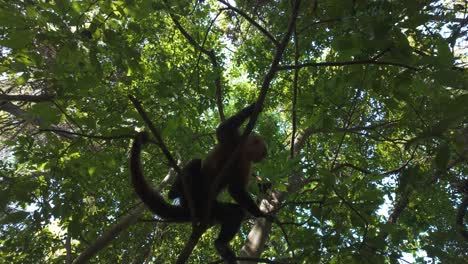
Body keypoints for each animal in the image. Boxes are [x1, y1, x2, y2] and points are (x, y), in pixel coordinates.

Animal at [131, 104, 270, 262]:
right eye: (264, 151)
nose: (265, 156)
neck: (241, 152)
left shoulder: (246, 163)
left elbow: (236, 189)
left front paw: (260, 212)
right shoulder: (233, 140)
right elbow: (222, 129)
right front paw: (254, 107)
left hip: (210, 208)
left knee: (234, 212)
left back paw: (220, 244)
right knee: (195, 163)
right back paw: (176, 191)